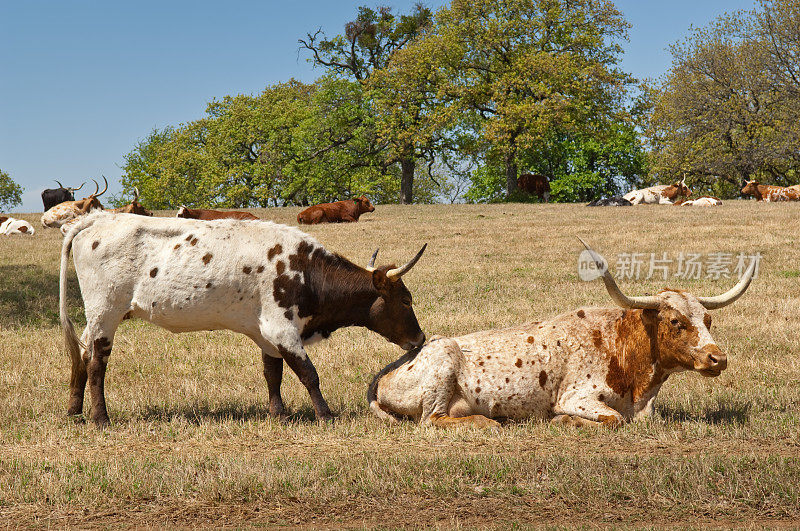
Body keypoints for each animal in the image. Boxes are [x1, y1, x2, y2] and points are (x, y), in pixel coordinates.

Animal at [59, 212, 428, 428]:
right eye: (406, 300)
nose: (420, 339)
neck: (306, 272)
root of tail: (96, 219)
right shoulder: (282, 328)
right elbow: (309, 374)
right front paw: (325, 415)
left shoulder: (267, 334)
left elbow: (273, 373)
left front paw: (279, 414)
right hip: (105, 312)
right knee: (97, 363)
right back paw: (101, 418)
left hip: (97, 318)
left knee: (82, 356)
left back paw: (75, 410)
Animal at [368, 240, 756, 428]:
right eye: (676, 322)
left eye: (708, 320)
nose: (718, 358)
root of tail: (381, 375)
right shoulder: (577, 396)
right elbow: (613, 419)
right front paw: (564, 421)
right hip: (444, 365)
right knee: (431, 421)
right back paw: (487, 422)